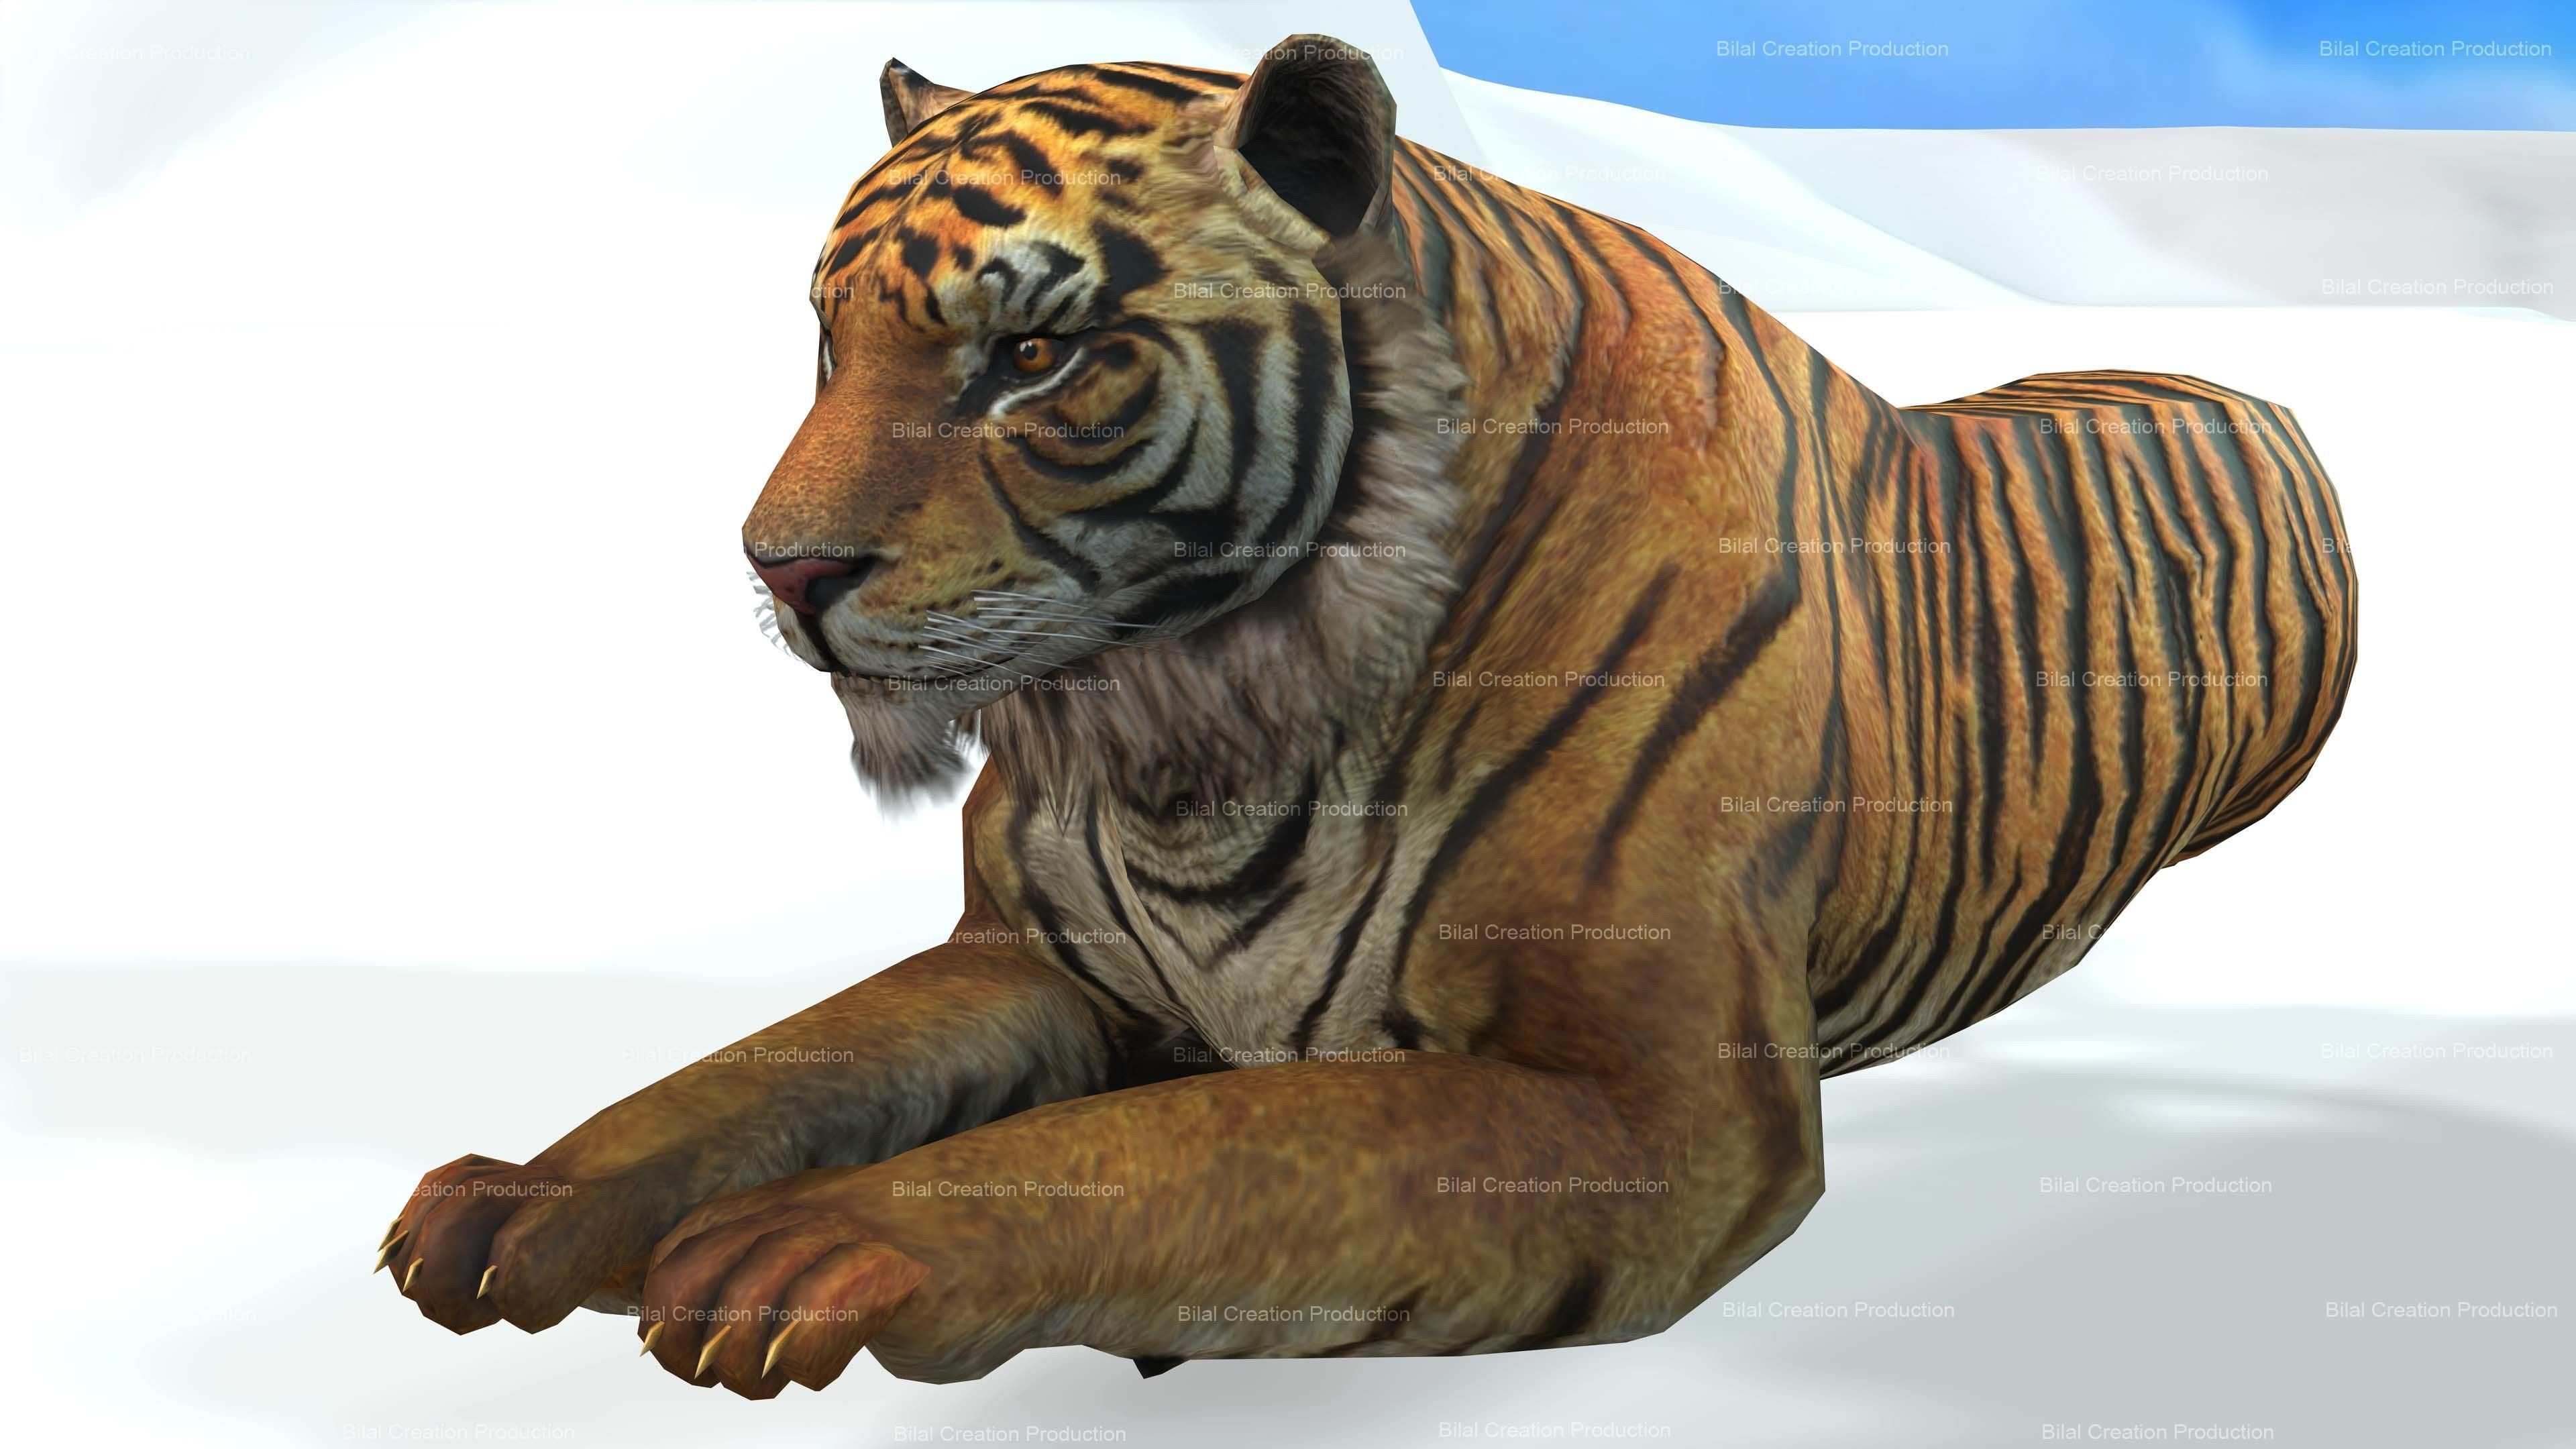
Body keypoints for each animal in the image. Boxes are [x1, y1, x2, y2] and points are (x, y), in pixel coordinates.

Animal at [379, 36, 2357, 1394]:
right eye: (825, 343)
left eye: (1033, 355)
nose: (780, 571)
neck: (1202, 736)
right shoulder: (1030, 959)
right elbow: (759, 1068)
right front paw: (520, 1196)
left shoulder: (1654, 1110)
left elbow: (1158, 1153)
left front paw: (818, 1240)